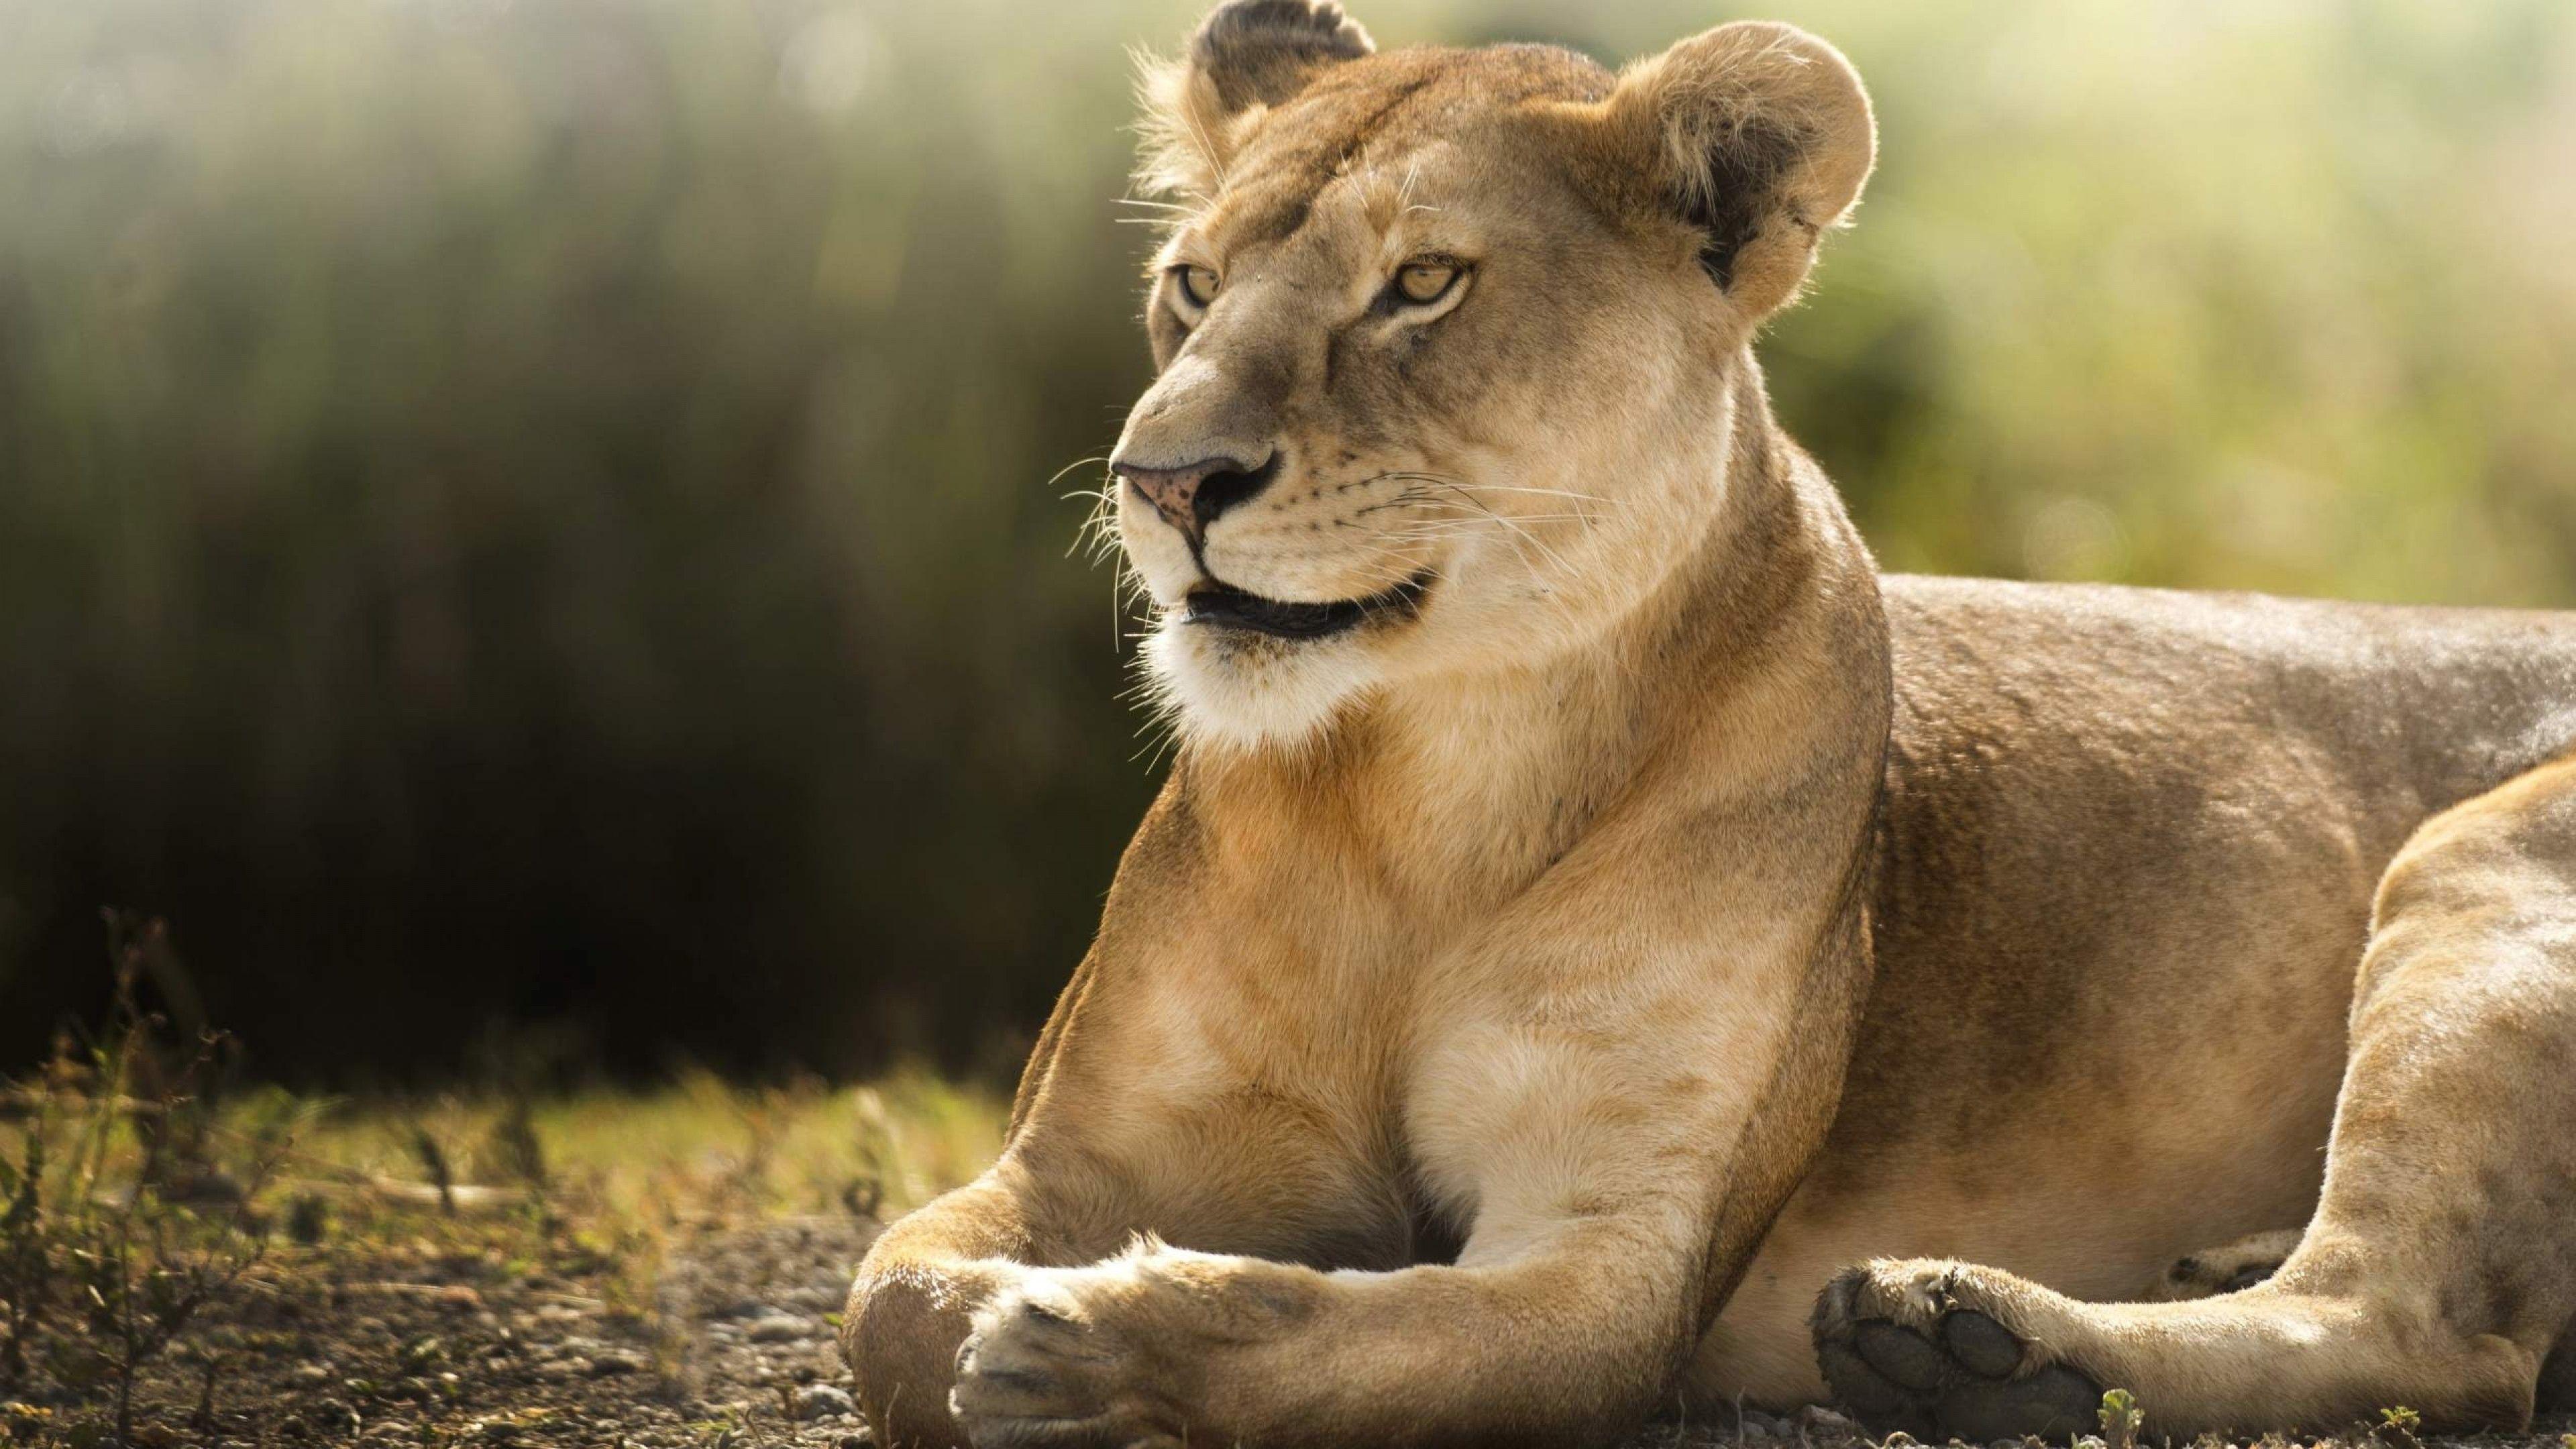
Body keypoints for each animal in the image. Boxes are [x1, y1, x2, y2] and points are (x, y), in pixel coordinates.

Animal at [840, 4, 2576, 1445]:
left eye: (1421, 283)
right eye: (1189, 285)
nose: (1160, 480)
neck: (1427, 790)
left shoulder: (1616, 1263)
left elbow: (1328, 1329)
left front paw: (1087, 1348)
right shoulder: (1075, 1158)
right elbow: (890, 1302)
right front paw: (1019, 1322)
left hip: (2473, 868)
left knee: (2420, 1335)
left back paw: (1965, 1341)